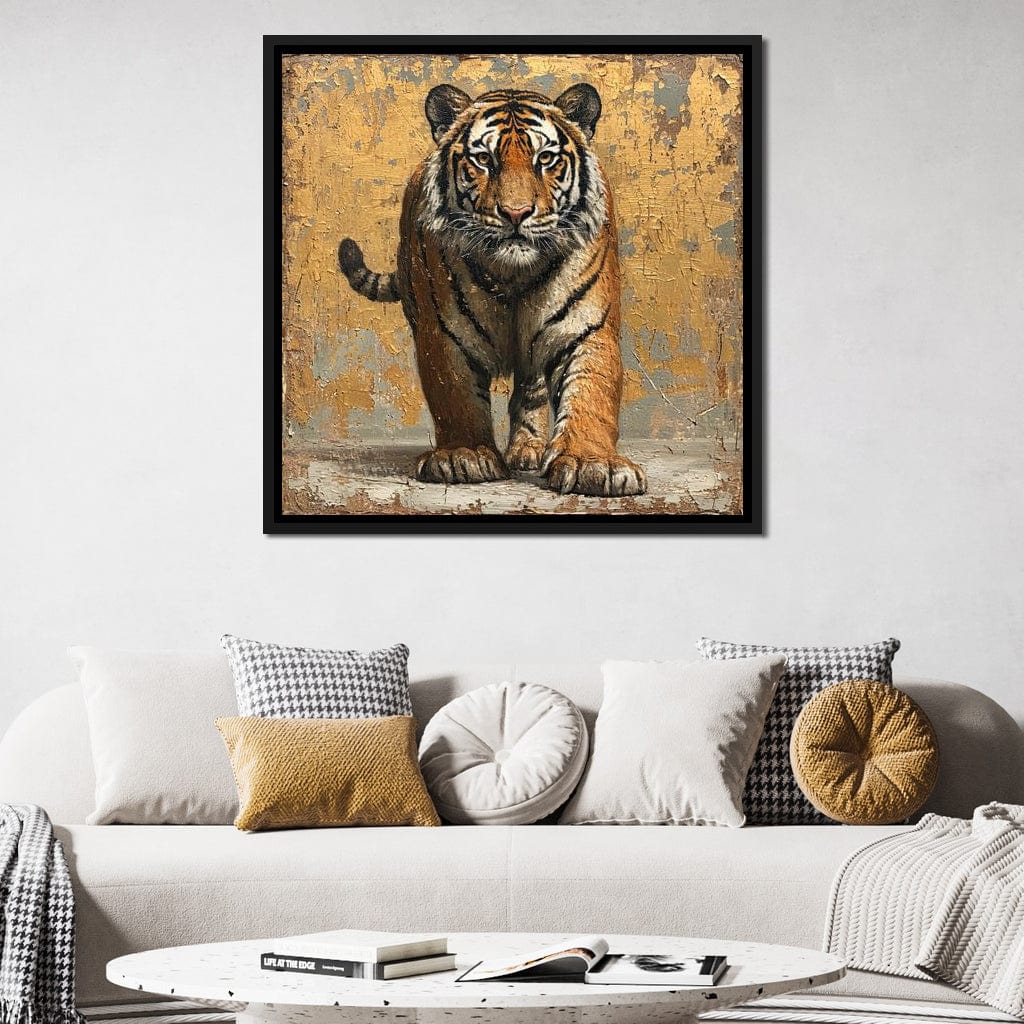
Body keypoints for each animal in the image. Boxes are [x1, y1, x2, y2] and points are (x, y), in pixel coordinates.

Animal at [338, 82, 646, 497]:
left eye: (546, 158)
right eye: (484, 159)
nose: (516, 213)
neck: (514, 273)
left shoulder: (586, 328)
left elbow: (592, 393)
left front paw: (592, 463)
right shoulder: (445, 335)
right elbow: (456, 397)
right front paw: (462, 456)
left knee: (530, 388)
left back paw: (528, 449)